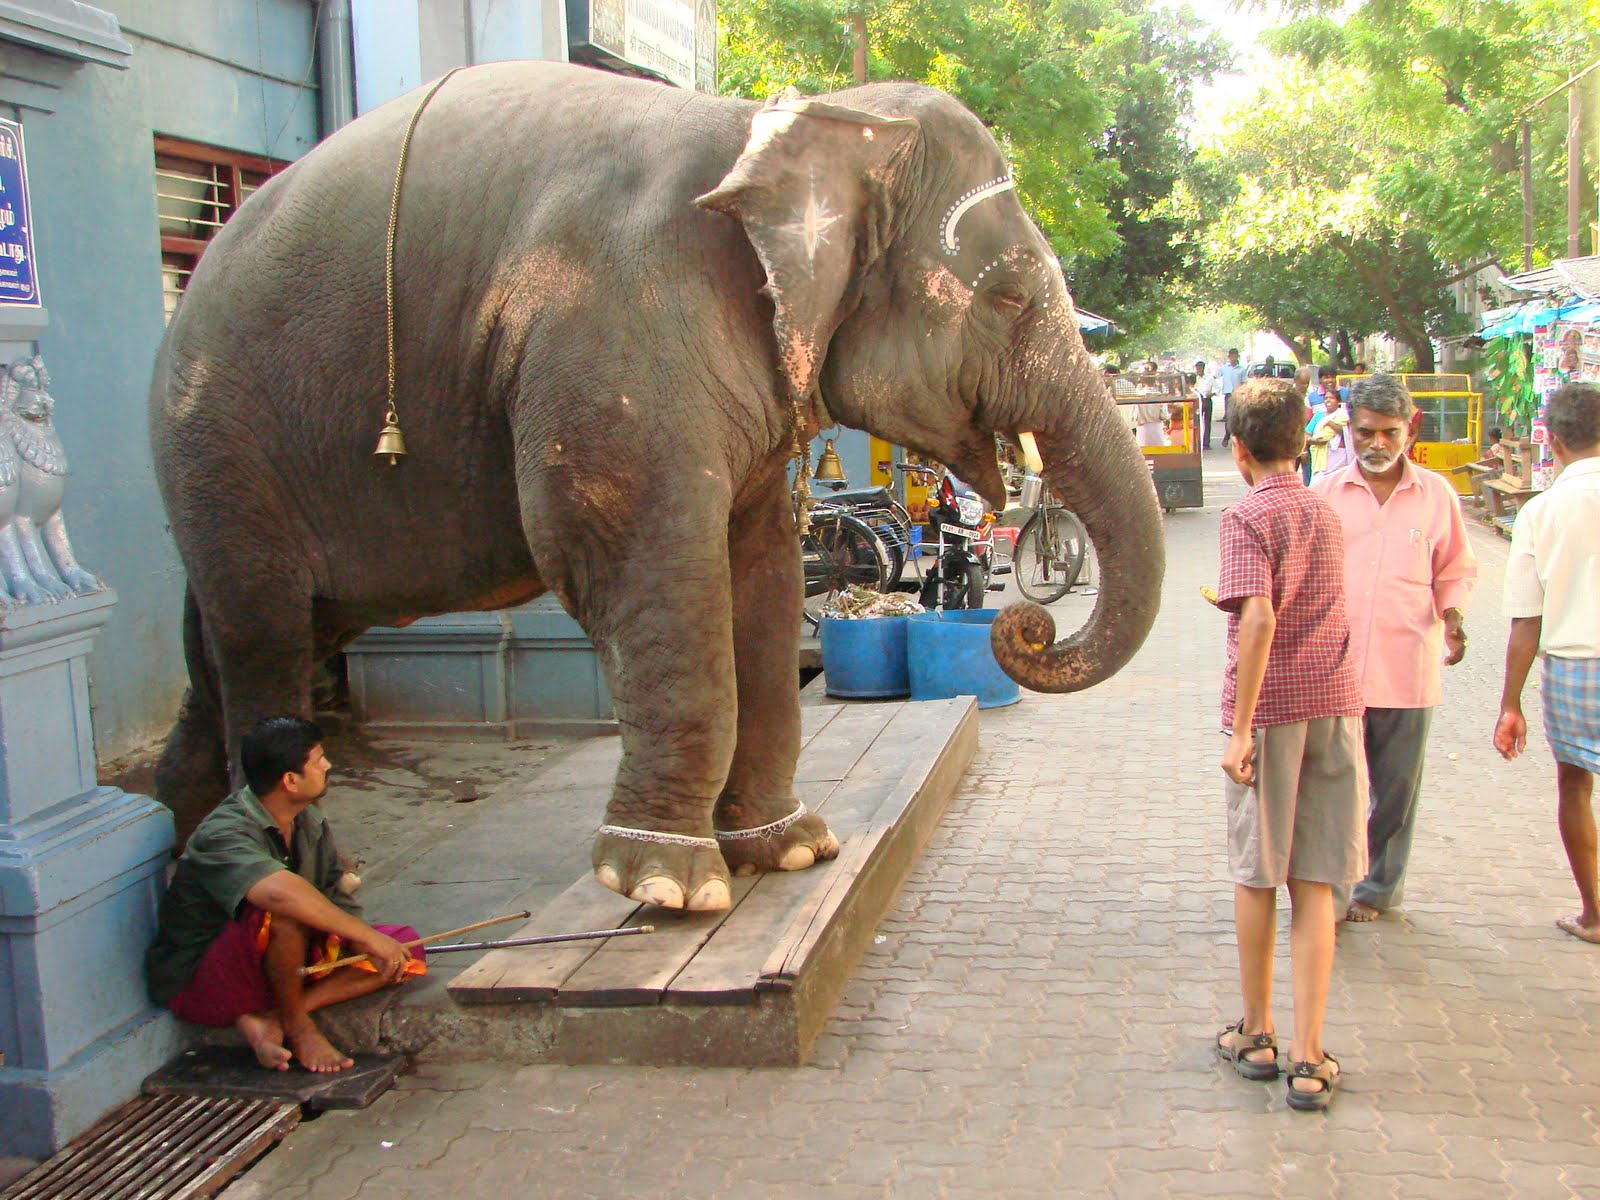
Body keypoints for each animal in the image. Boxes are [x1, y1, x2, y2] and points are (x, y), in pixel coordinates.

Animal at [150, 61, 1164, 911]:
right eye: (1008, 298)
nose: (1024, 625)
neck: (781, 121)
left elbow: (760, 568)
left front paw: (791, 850)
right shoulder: (616, 330)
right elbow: (643, 561)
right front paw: (668, 886)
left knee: (226, 649)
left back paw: (184, 871)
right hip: (219, 444)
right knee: (263, 639)